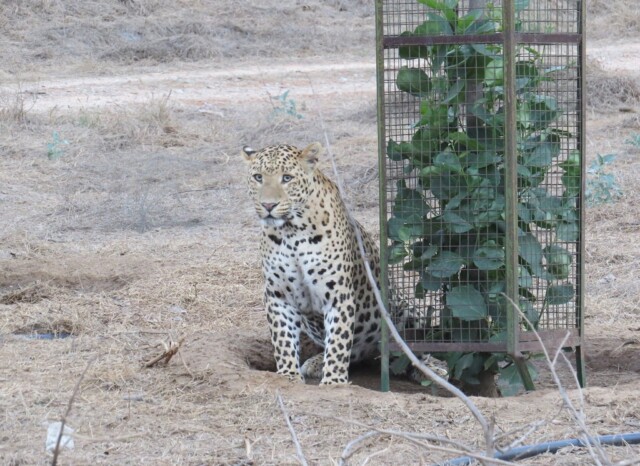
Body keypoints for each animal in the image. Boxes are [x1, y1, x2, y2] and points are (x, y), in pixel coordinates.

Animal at [242, 142, 382, 385]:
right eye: (258, 177)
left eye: (287, 178)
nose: (268, 205)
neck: (291, 232)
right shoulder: (277, 295)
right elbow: (283, 338)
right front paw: (288, 375)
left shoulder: (338, 294)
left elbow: (338, 342)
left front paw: (333, 382)